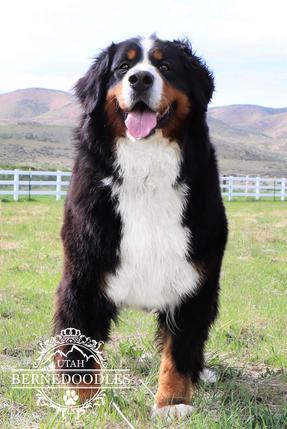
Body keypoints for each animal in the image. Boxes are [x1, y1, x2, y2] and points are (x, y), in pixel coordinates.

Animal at [54, 35, 230, 416]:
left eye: (165, 66)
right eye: (123, 67)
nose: (140, 79)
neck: (146, 172)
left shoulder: (194, 282)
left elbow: (179, 351)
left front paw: (172, 403)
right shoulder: (84, 275)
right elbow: (80, 345)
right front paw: (81, 401)